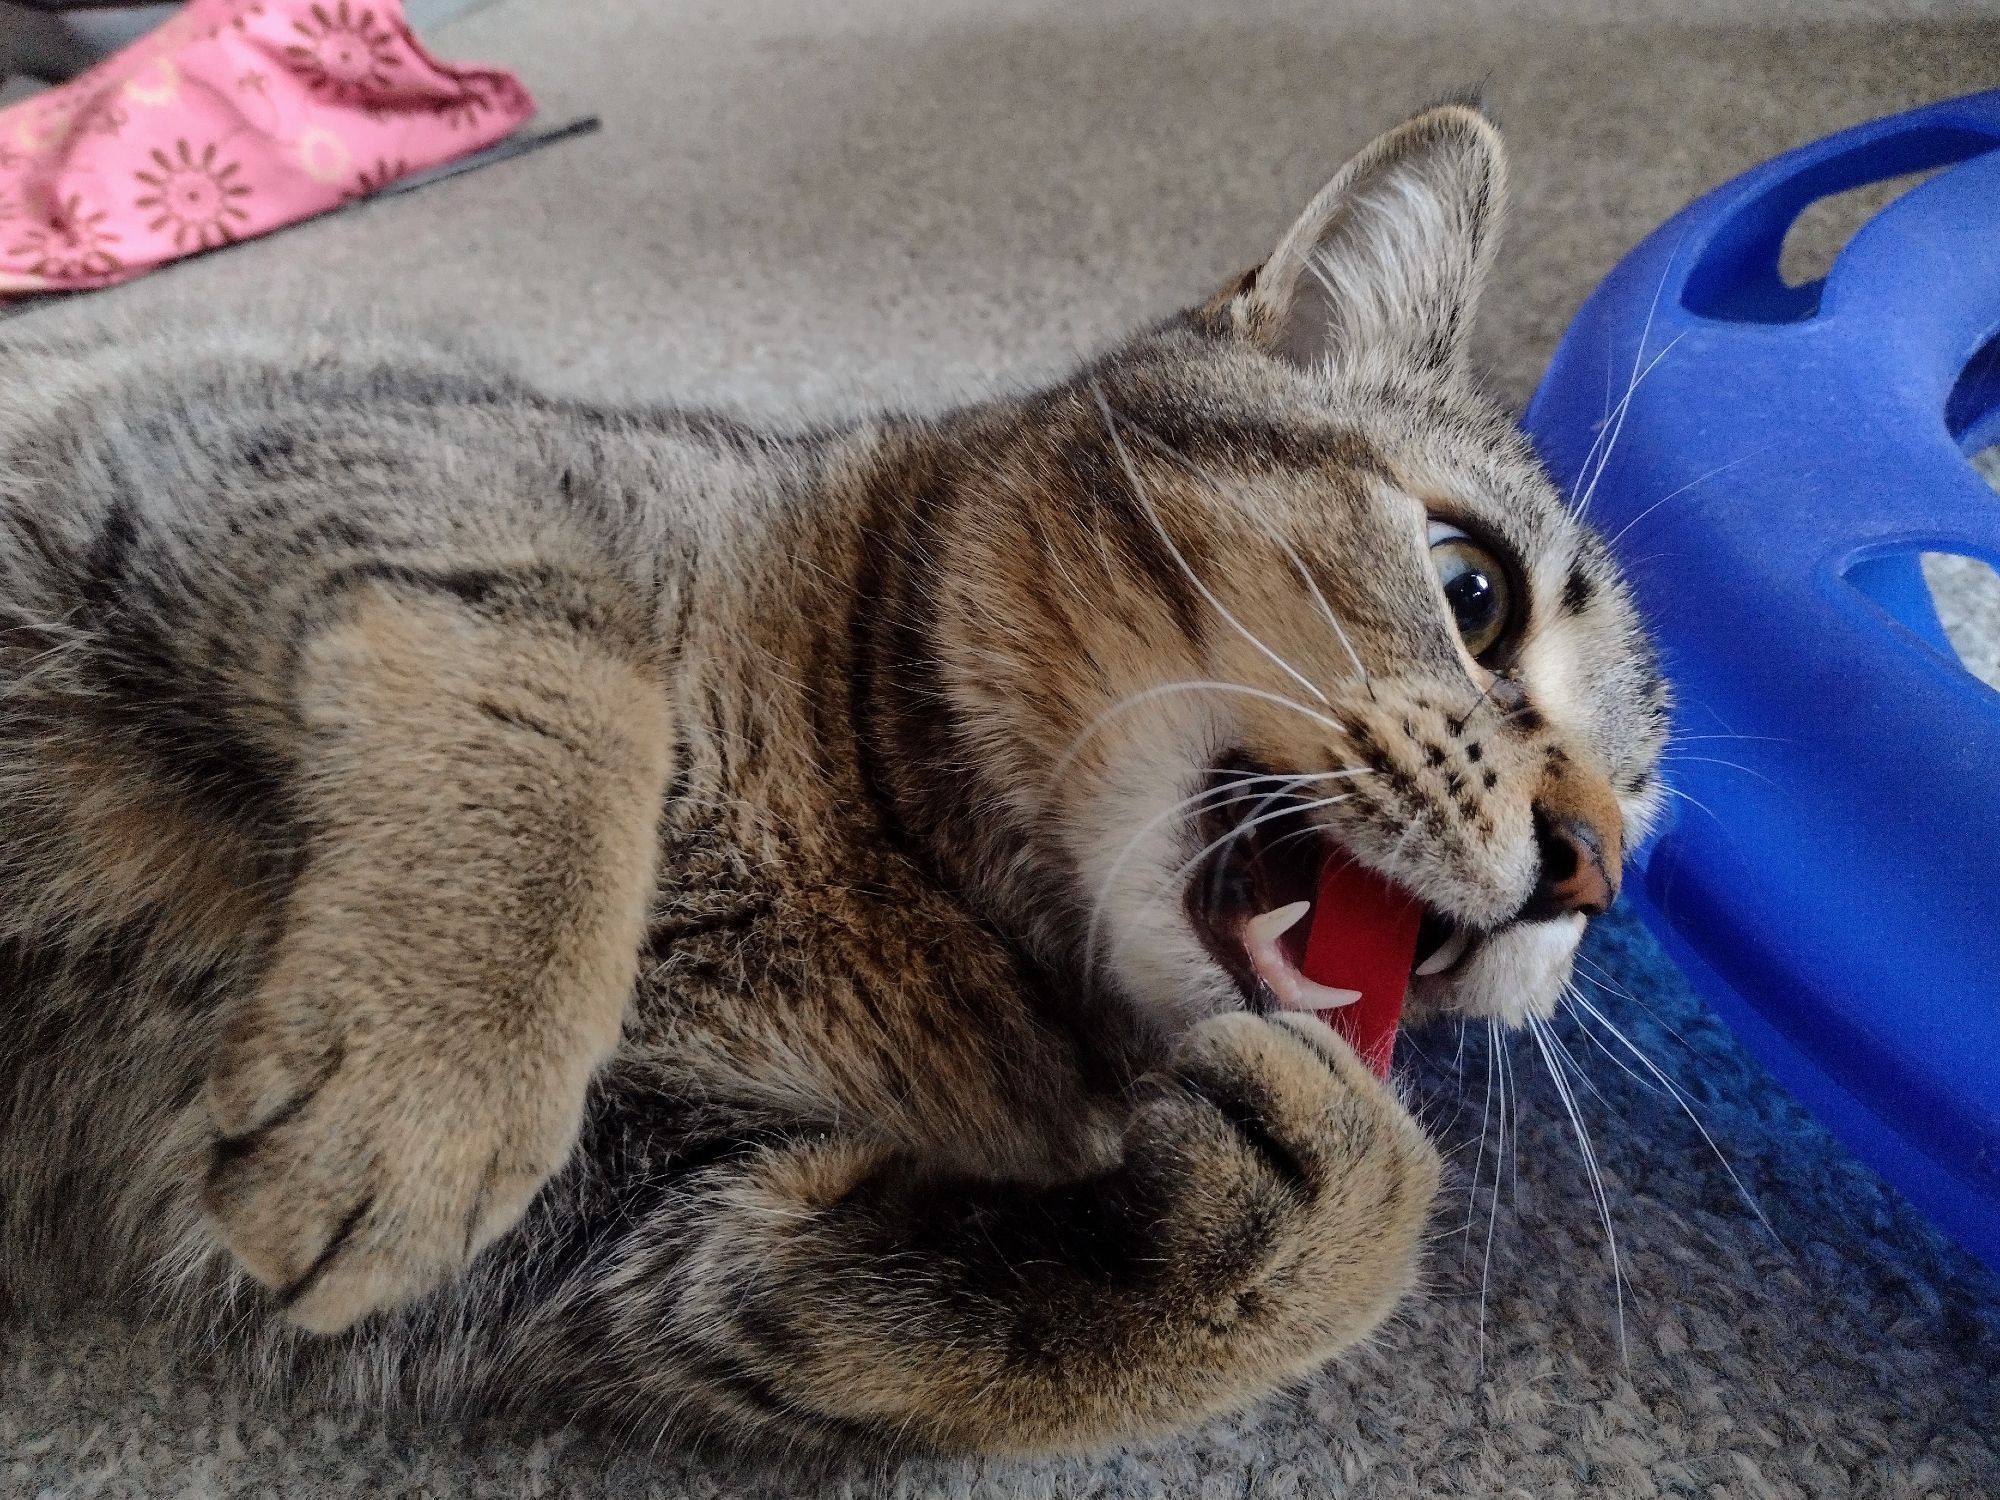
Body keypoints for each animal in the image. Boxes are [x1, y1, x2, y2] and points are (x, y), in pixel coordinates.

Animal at [0, 108, 1664, 1472]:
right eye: (1473, 588)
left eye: (1648, 807)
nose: (1590, 868)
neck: (901, 863)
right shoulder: (333, 444)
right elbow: (566, 676)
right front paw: (438, 1071)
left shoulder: (600, 1246)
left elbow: (913, 1338)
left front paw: (1350, 1206)